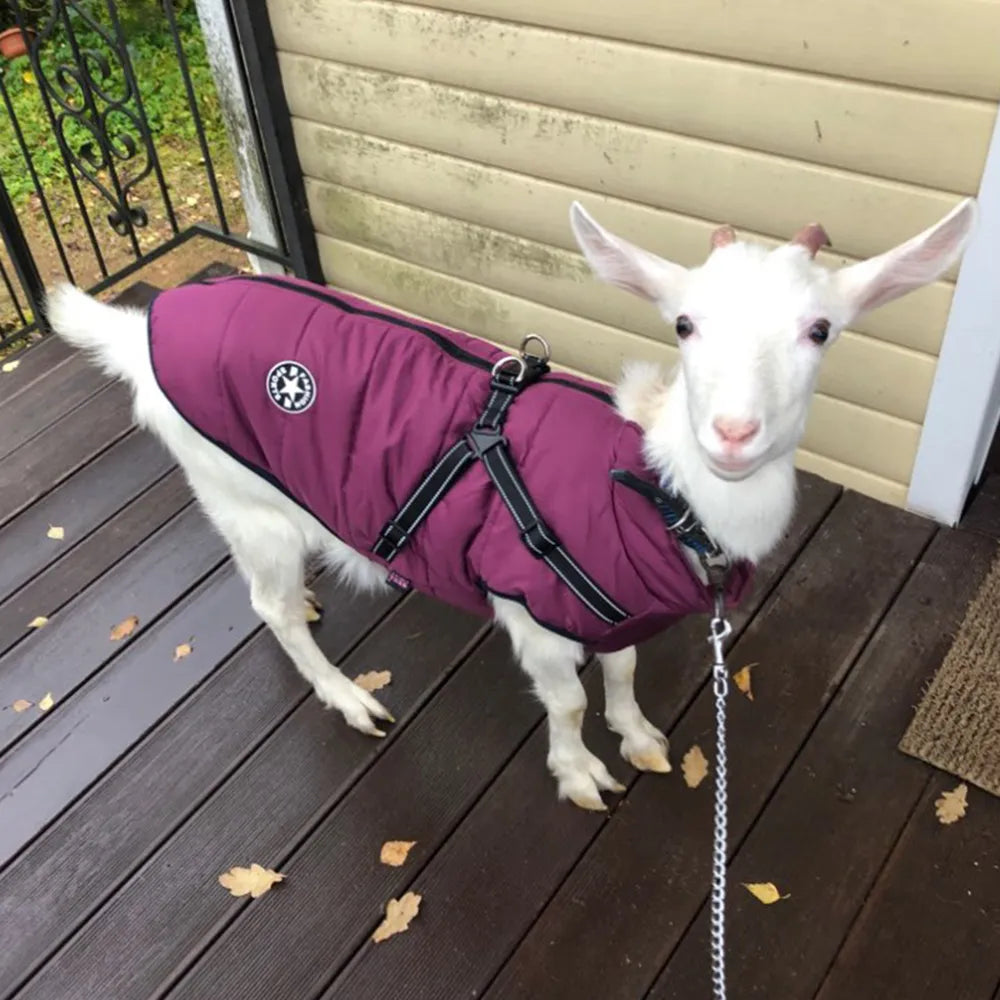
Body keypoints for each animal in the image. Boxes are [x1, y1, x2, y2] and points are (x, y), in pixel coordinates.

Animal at [48, 197, 976, 812]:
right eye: (683, 324)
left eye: (821, 331)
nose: (734, 433)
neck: (648, 486)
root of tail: (142, 329)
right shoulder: (530, 600)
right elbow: (565, 700)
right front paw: (582, 775)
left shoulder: (608, 602)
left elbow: (624, 667)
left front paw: (641, 741)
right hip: (239, 494)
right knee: (264, 603)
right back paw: (349, 697)